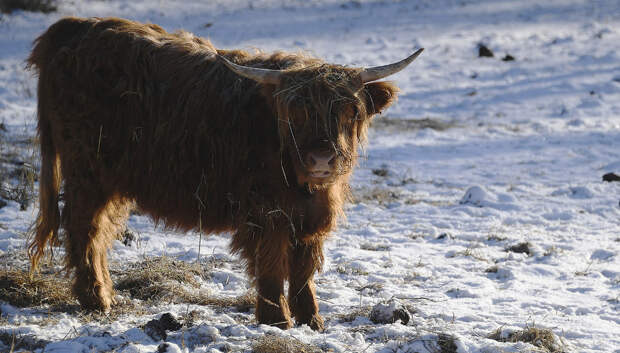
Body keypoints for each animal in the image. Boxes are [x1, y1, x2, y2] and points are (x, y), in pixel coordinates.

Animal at [25, 17, 422, 330]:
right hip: (88, 172)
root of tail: (74, 27)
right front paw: (277, 320)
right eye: (295, 112)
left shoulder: (311, 217)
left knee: (99, 230)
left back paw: (105, 292)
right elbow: (273, 263)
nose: (322, 159)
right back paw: (97, 298)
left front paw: (312, 320)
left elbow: (304, 268)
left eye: (350, 111)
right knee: (85, 228)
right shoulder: (266, 213)